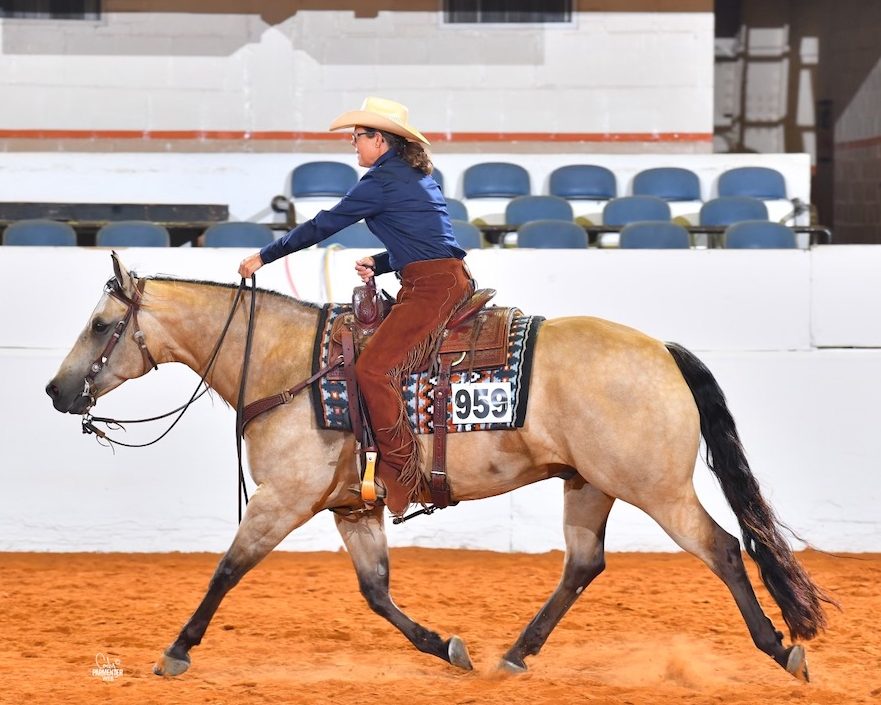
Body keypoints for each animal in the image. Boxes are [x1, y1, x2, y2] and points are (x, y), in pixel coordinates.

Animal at [45, 253, 832, 682]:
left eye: (100, 324)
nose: (56, 390)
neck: (288, 364)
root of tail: (663, 351)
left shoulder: (283, 497)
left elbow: (227, 567)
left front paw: (176, 650)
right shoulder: (350, 506)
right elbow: (375, 591)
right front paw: (445, 646)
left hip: (655, 487)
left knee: (723, 548)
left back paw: (778, 649)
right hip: (589, 484)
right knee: (583, 564)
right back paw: (513, 655)